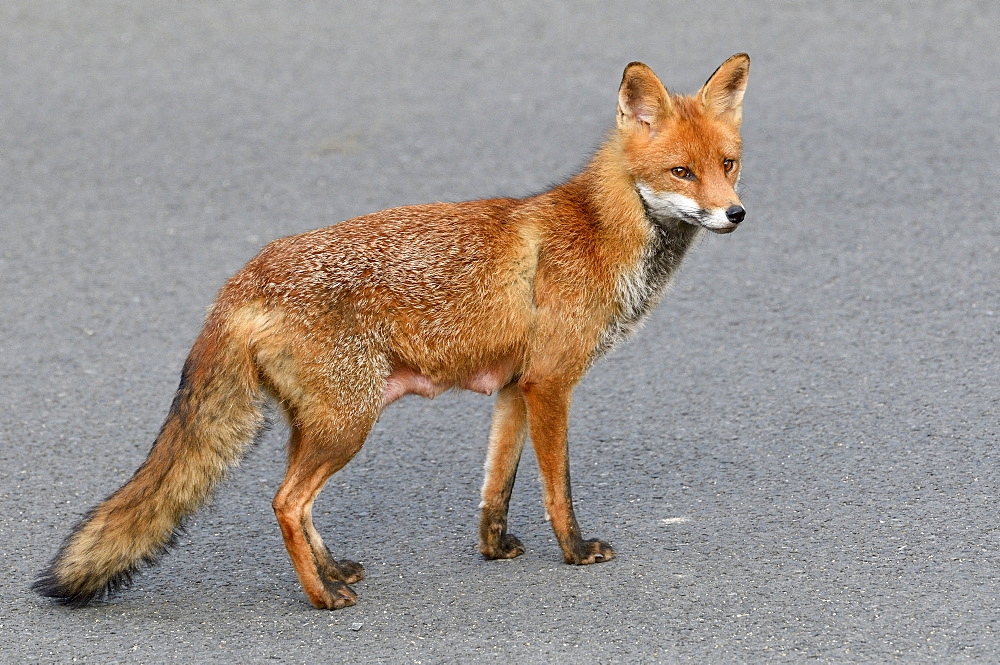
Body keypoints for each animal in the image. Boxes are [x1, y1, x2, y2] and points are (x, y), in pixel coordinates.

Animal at [33, 54, 752, 608]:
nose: (736, 214)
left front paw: (494, 548)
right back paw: (323, 597)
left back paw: (332, 570)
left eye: (728, 164)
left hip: (322, 422)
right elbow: (558, 488)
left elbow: (496, 485)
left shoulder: (512, 387)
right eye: (682, 172)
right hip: (349, 421)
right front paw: (574, 551)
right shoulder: (551, 382)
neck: (602, 231)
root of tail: (240, 280)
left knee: (300, 503)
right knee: (286, 502)